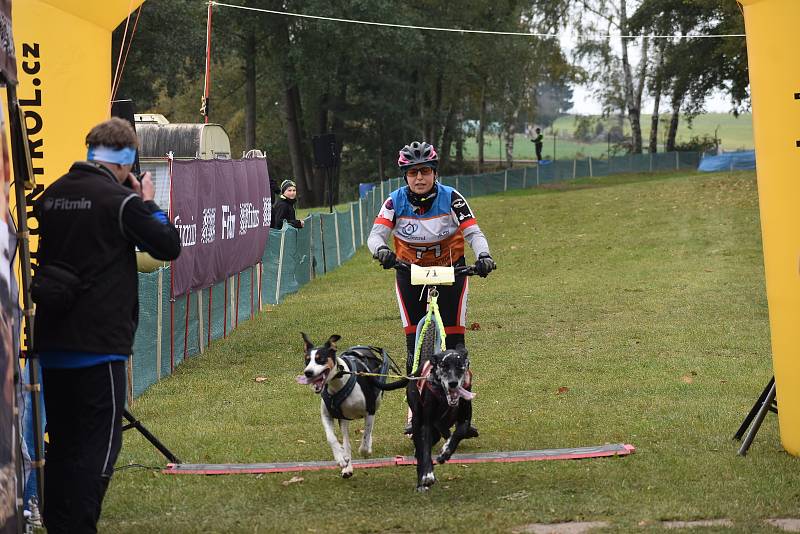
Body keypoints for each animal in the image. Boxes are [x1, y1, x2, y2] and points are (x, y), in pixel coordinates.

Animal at [296, 332, 404, 480]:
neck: (339, 381)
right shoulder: (327, 415)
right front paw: (341, 458)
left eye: (321, 359)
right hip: (343, 418)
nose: (308, 372)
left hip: (376, 400)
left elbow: (366, 435)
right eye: (307, 360)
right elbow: (332, 438)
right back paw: (347, 466)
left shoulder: (370, 410)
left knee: (368, 431)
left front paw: (365, 450)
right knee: (346, 442)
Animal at [406, 348, 476, 494]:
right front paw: (427, 474)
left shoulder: (465, 420)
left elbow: (459, 433)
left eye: (460, 365)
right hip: (416, 420)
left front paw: (446, 451)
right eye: (443, 366)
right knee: (420, 451)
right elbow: (426, 451)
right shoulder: (427, 425)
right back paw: (421, 482)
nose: (453, 383)